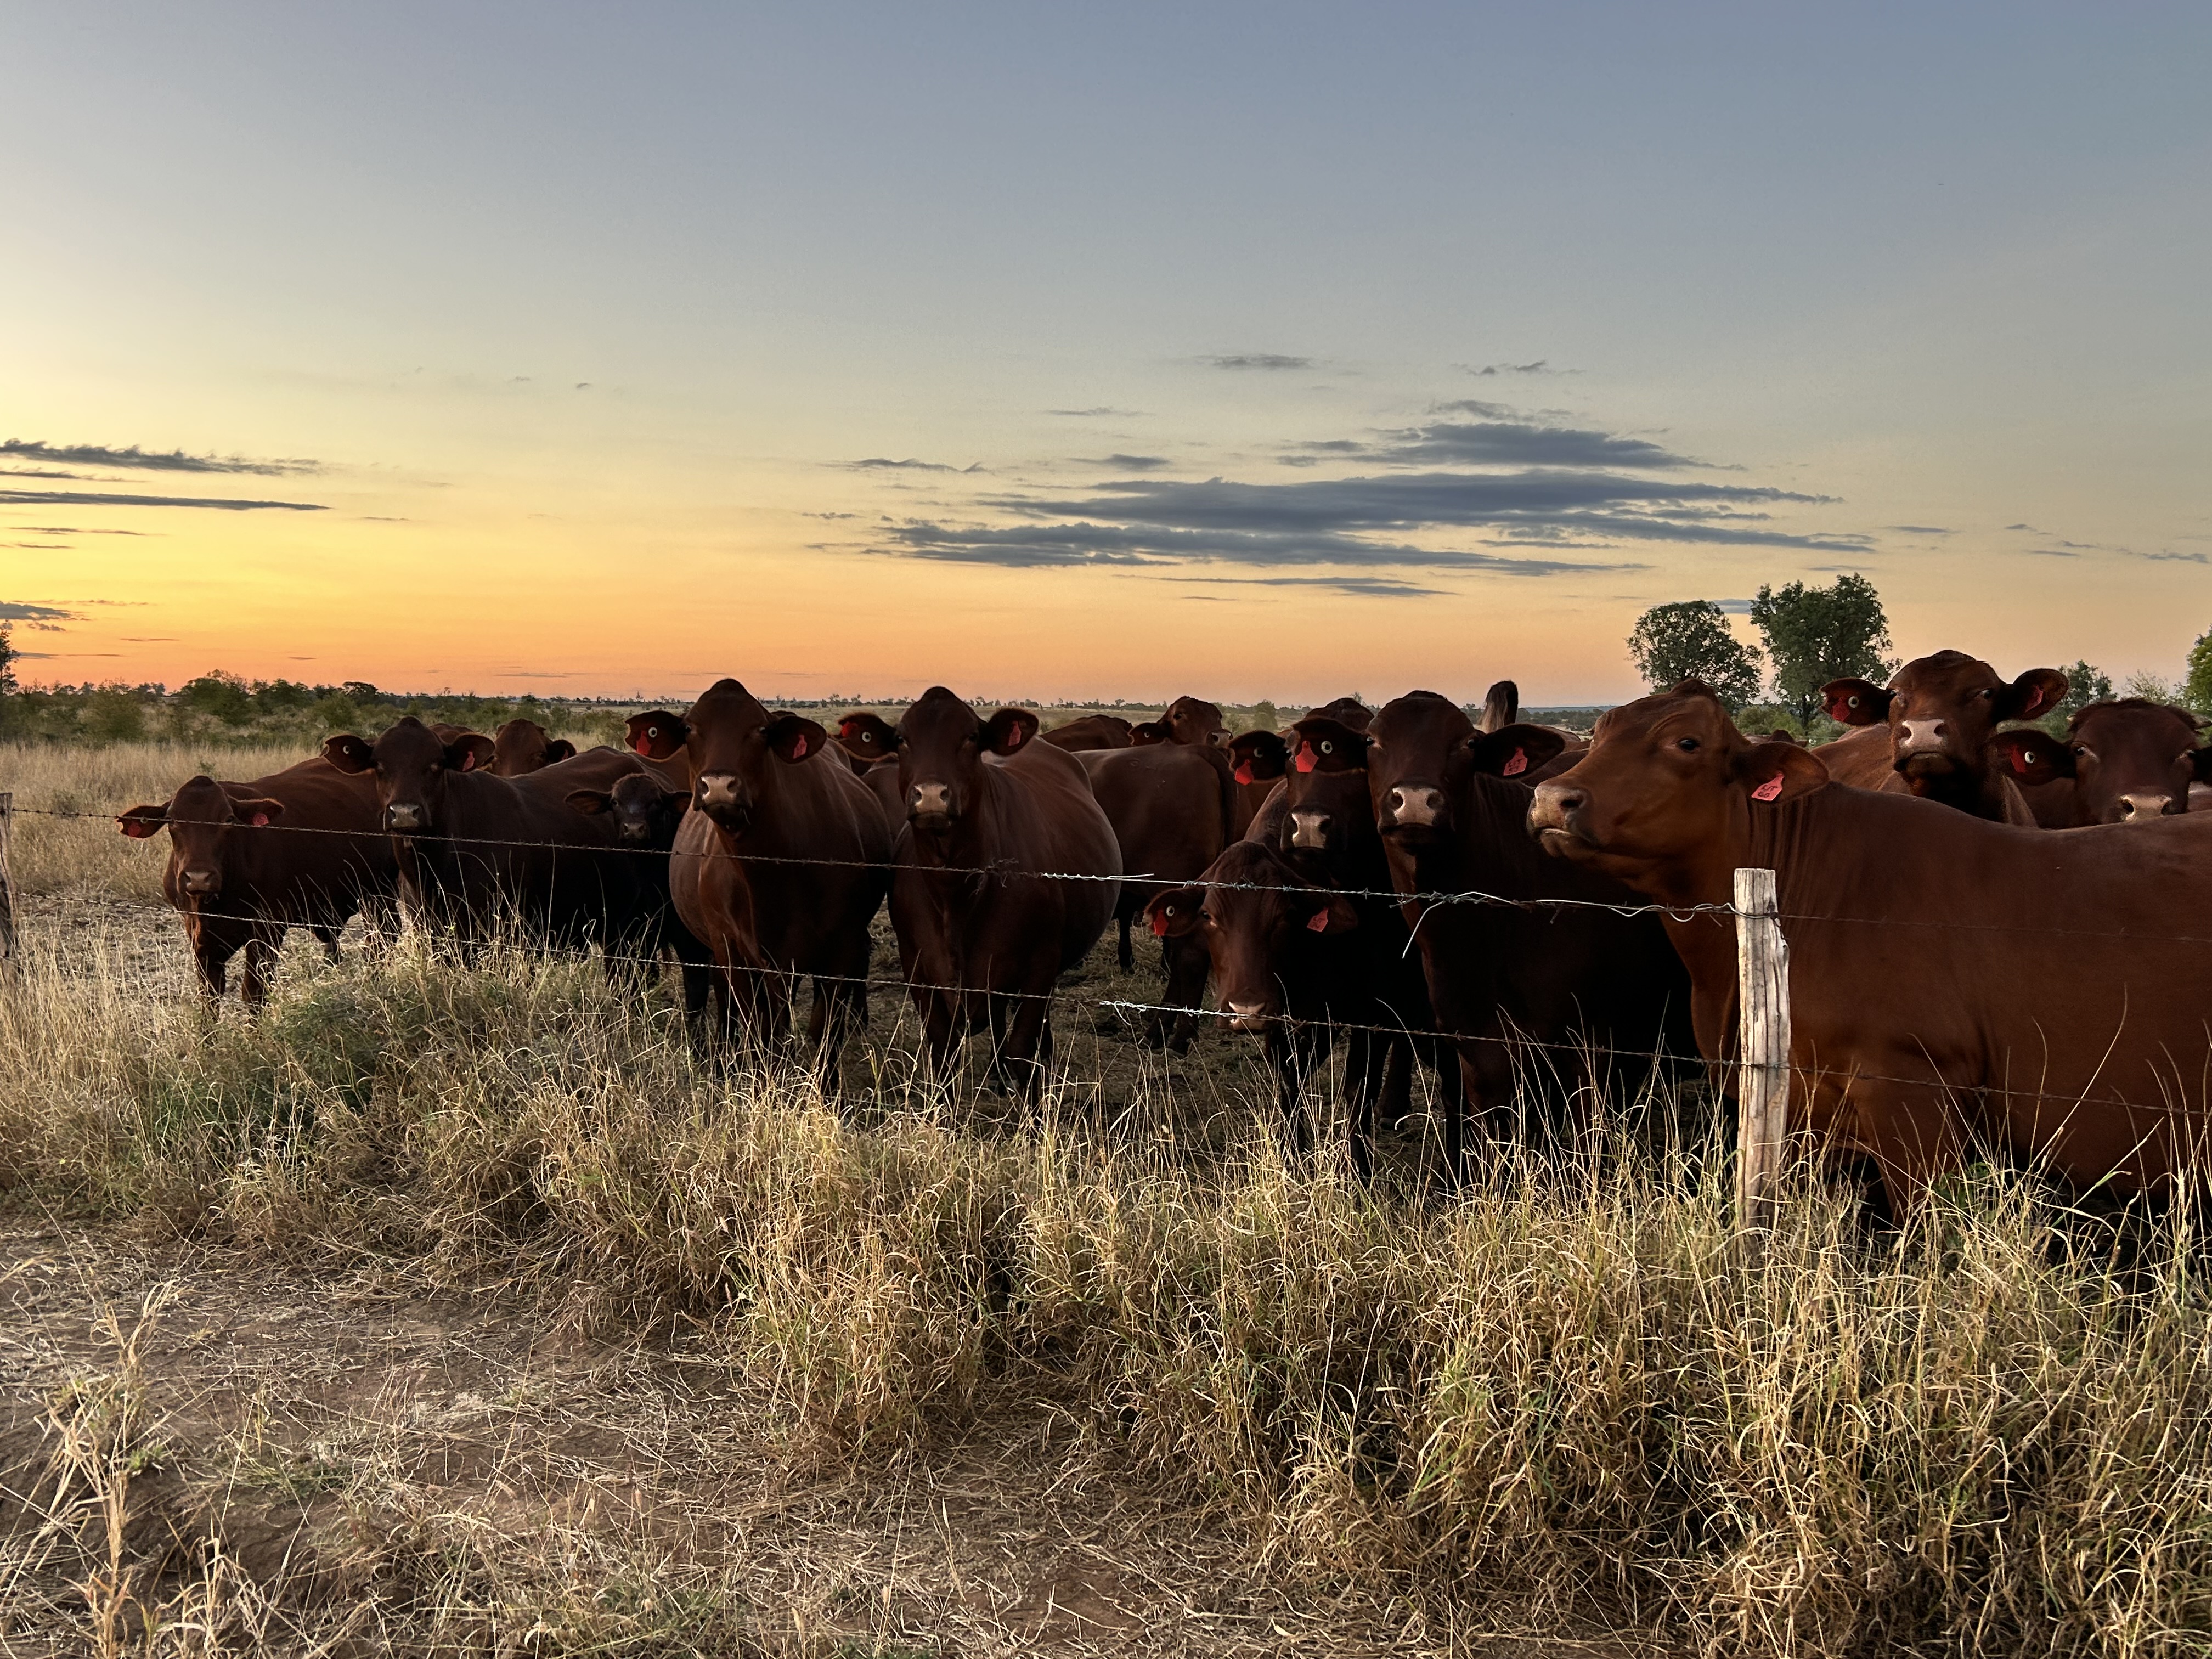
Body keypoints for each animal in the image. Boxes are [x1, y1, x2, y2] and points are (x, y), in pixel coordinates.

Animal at [117, 759, 399, 1004]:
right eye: (172, 821)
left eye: (228, 820)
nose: (199, 877)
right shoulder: (198, 935)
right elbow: (209, 996)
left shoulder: (268, 928)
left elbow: (254, 992)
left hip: (381, 891)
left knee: (382, 941)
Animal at [626, 681, 891, 1068]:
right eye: (689, 728)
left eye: (762, 730)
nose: (718, 785)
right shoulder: (735, 951)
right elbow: (761, 1029)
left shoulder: (841, 949)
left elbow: (823, 1032)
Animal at [886, 687, 1120, 1098]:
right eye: (901, 738)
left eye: (971, 737)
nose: (930, 795)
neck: (955, 892)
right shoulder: (916, 965)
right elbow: (943, 1049)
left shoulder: (1040, 963)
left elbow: (1022, 1049)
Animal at [1366, 691, 1695, 1174]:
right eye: (1371, 740)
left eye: (1467, 743)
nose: (1413, 800)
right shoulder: (1476, 1049)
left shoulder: (1596, 1048)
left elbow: (1588, 1148)